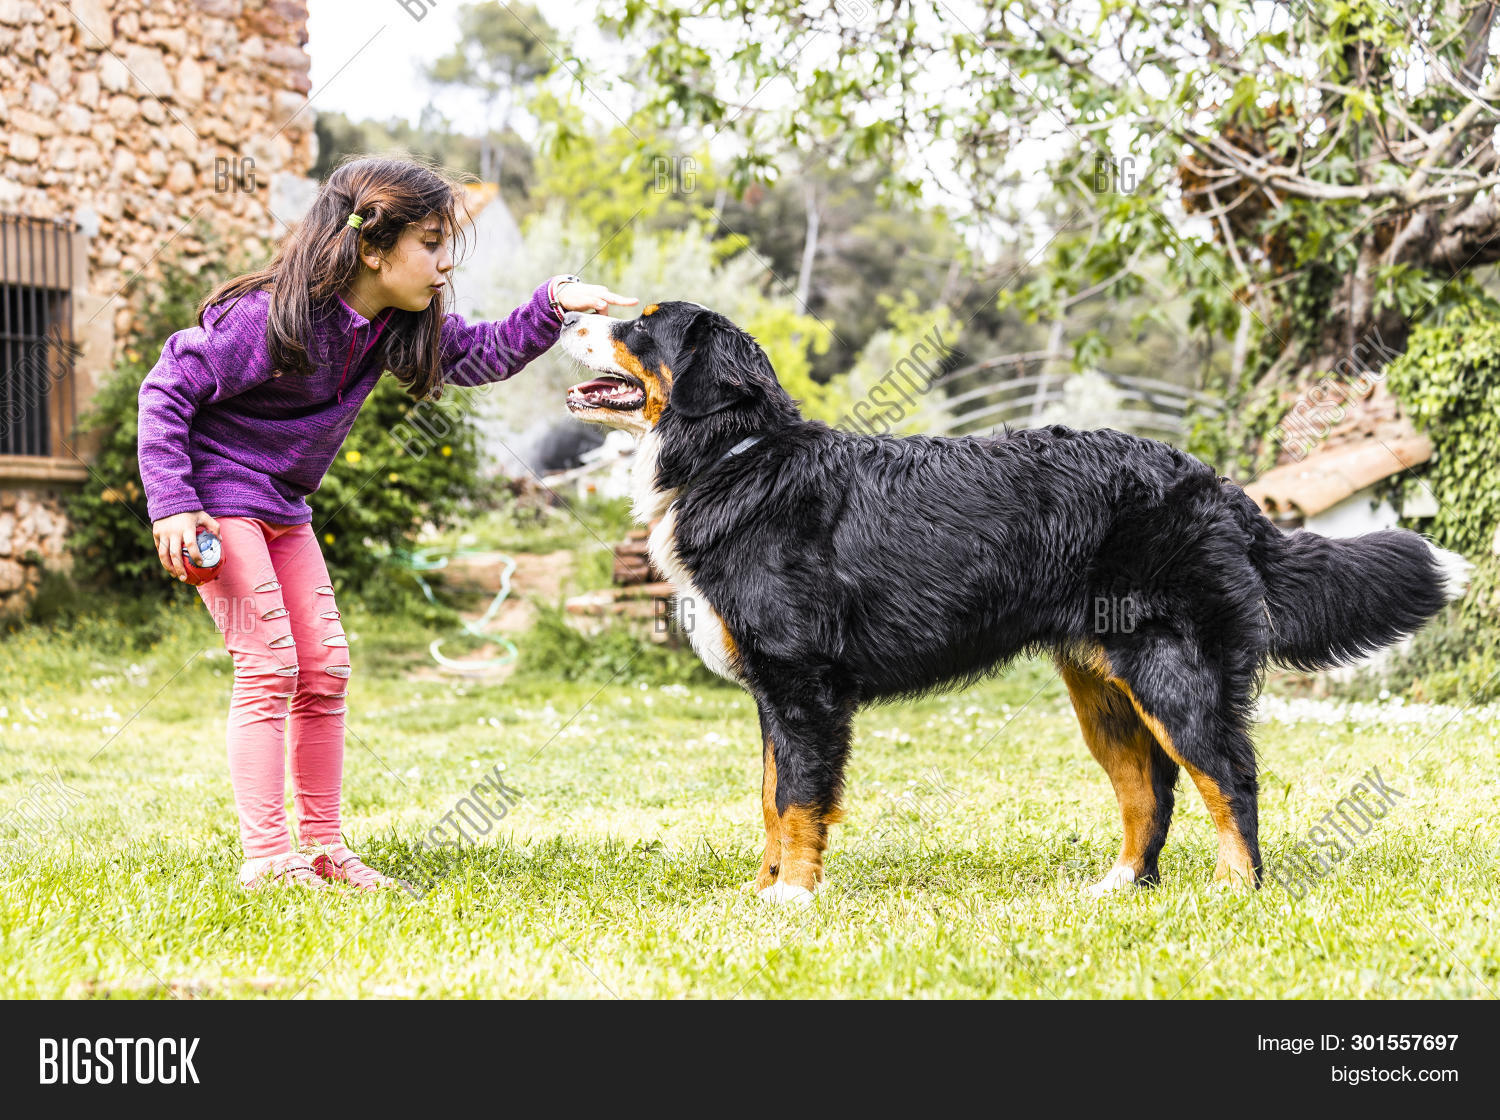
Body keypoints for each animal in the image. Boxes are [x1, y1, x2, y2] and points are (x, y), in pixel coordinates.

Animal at [560, 301, 1470, 902]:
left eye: (640, 327)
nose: (568, 313)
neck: (736, 456)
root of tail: (1218, 487)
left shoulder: (802, 685)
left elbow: (797, 801)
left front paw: (793, 900)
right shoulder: (773, 693)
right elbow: (769, 799)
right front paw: (763, 893)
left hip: (1174, 670)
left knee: (1228, 778)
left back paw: (1235, 890)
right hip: (1102, 688)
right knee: (1151, 789)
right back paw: (1123, 885)